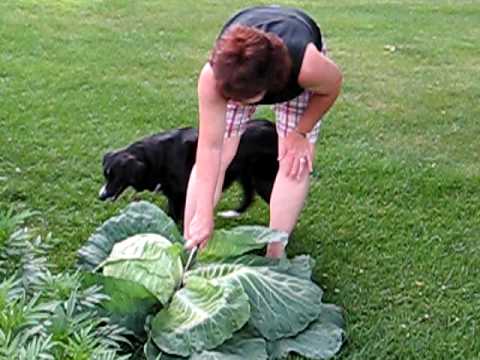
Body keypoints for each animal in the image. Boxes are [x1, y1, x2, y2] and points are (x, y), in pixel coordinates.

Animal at [99, 119, 280, 224]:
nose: (101, 196)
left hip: (263, 179)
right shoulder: (173, 197)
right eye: (106, 176)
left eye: (115, 177)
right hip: (246, 175)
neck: (155, 157)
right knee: (249, 197)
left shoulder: (183, 195)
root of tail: (271, 126)